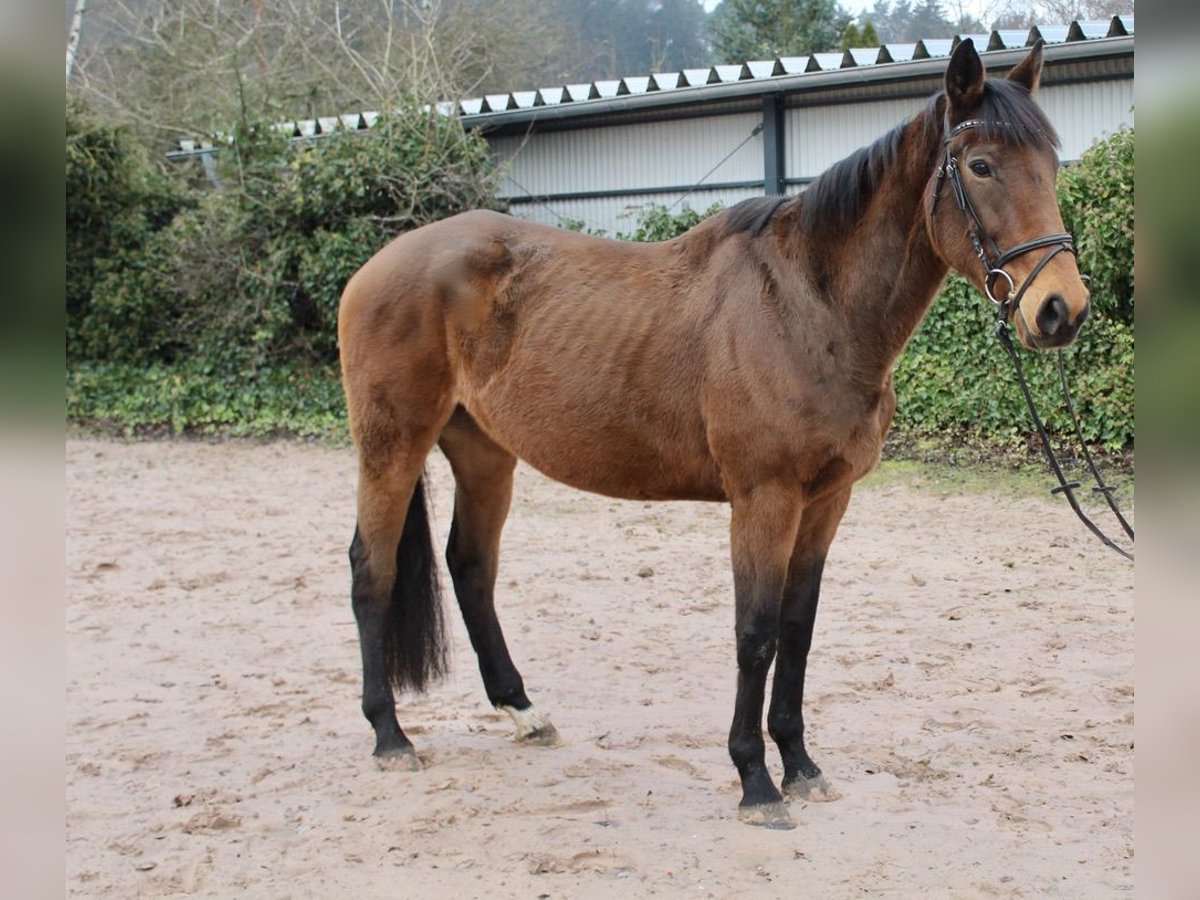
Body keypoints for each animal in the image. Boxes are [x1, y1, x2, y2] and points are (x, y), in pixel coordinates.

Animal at [336, 40, 1089, 830]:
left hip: (485, 453)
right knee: (371, 570)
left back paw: (523, 711)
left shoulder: (826, 502)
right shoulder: (764, 499)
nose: (1061, 308)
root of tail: (378, 267)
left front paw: (800, 765)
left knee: (471, 567)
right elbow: (755, 635)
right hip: (391, 446)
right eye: (980, 165)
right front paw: (755, 780)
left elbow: (797, 630)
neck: (808, 304)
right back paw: (390, 735)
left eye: (1050, 163)